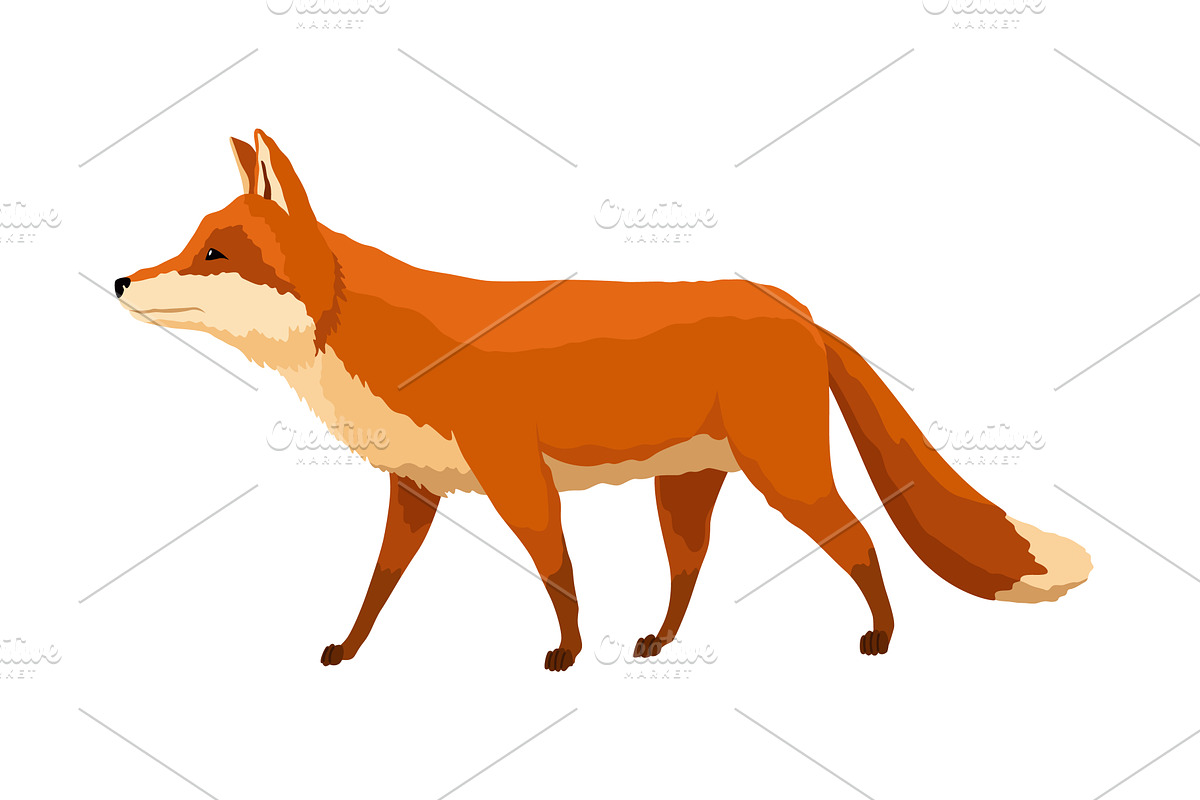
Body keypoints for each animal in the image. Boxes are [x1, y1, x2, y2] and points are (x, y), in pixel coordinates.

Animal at [115, 130, 1092, 671]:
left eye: (214, 253)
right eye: (190, 243)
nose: (121, 280)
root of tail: (798, 310)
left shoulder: (514, 474)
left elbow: (558, 569)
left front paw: (568, 655)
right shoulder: (418, 484)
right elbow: (381, 582)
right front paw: (350, 650)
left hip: (786, 476)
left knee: (859, 540)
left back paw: (882, 637)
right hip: (687, 487)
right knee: (691, 566)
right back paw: (658, 642)